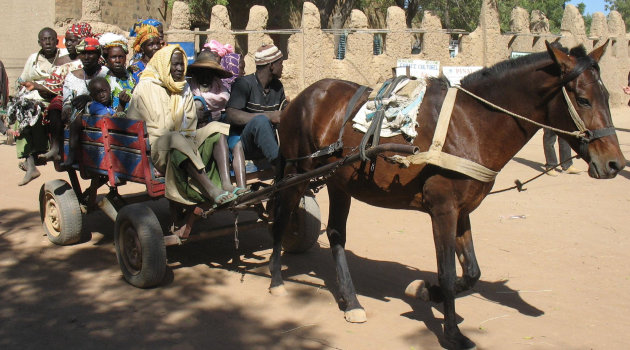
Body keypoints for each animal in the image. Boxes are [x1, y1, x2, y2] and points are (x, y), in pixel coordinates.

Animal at [270, 40, 624, 348]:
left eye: (607, 95)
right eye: (583, 99)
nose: (615, 163)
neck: (469, 125)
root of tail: (300, 98)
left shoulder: (463, 209)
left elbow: (472, 272)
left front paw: (428, 291)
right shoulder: (443, 209)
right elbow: (449, 271)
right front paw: (452, 333)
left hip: (340, 181)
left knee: (336, 234)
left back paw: (351, 301)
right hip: (296, 174)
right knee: (281, 219)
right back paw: (276, 280)